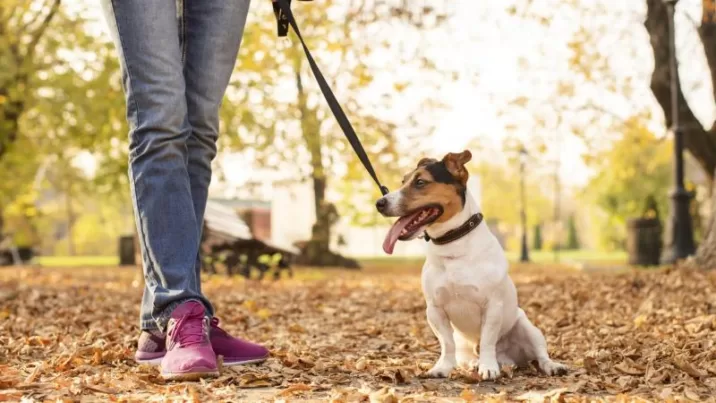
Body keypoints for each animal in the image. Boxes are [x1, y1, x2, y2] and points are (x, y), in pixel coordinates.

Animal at [378, 150, 568, 380]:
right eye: (403, 181)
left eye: (420, 182)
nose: (379, 203)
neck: (453, 245)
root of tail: (508, 359)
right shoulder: (435, 310)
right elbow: (446, 344)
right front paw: (443, 367)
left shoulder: (492, 306)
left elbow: (487, 341)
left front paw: (488, 368)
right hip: (465, 345)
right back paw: (473, 364)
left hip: (528, 328)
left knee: (540, 355)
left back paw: (550, 366)